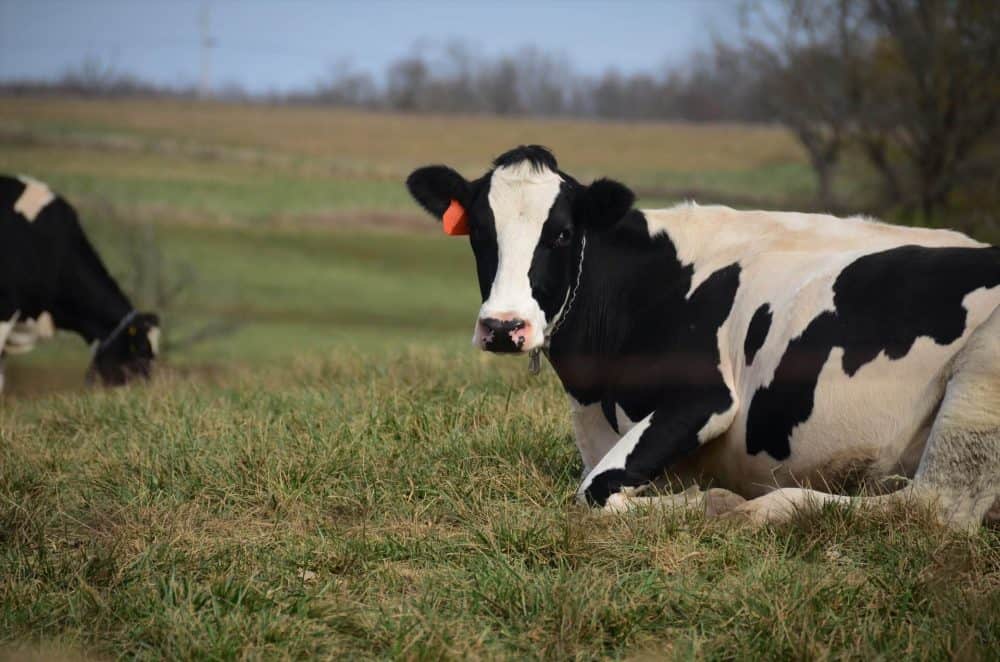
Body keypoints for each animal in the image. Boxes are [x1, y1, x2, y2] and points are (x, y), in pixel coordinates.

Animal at [406, 147, 1000, 536]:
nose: (504, 327)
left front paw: (710, 501)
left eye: (561, 233)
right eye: (480, 232)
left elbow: (594, 491)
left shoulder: (708, 396)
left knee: (932, 507)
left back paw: (765, 508)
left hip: (980, 381)